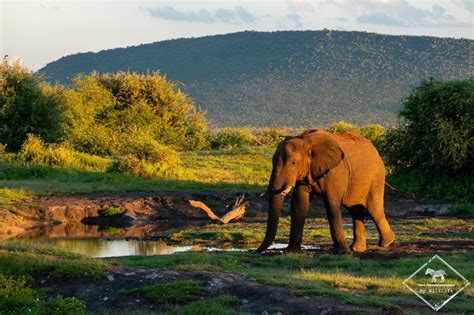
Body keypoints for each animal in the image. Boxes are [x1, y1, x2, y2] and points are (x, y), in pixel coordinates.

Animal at [258, 128, 394, 254]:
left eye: (293, 163)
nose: (255, 252)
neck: (305, 141)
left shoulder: (335, 171)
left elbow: (331, 203)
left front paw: (341, 253)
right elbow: (299, 203)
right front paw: (291, 251)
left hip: (376, 178)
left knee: (373, 210)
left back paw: (387, 243)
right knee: (355, 210)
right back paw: (357, 249)